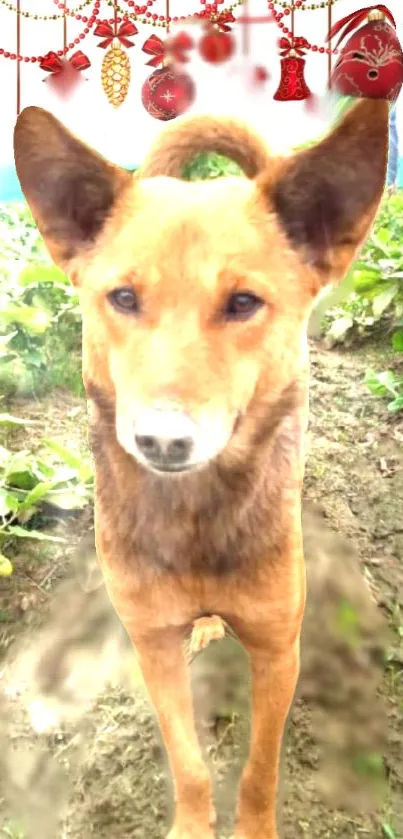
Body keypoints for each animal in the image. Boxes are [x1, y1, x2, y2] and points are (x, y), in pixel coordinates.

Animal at [14, 100, 390, 839]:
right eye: (123, 298)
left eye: (242, 303)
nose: (161, 439)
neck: (194, 519)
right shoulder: (151, 642)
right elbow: (187, 763)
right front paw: (192, 826)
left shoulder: (278, 651)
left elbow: (260, 770)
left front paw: (255, 828)